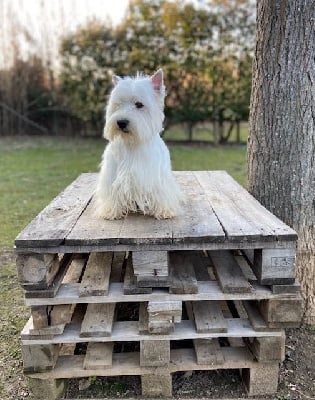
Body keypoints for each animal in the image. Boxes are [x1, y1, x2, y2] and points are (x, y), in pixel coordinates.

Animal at [94, 69, 183, 219]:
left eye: (139, 104)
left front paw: (163, 210)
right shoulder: (112, 176)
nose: (121, 122)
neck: (132, 142)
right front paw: (111, 211)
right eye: (118, 104)